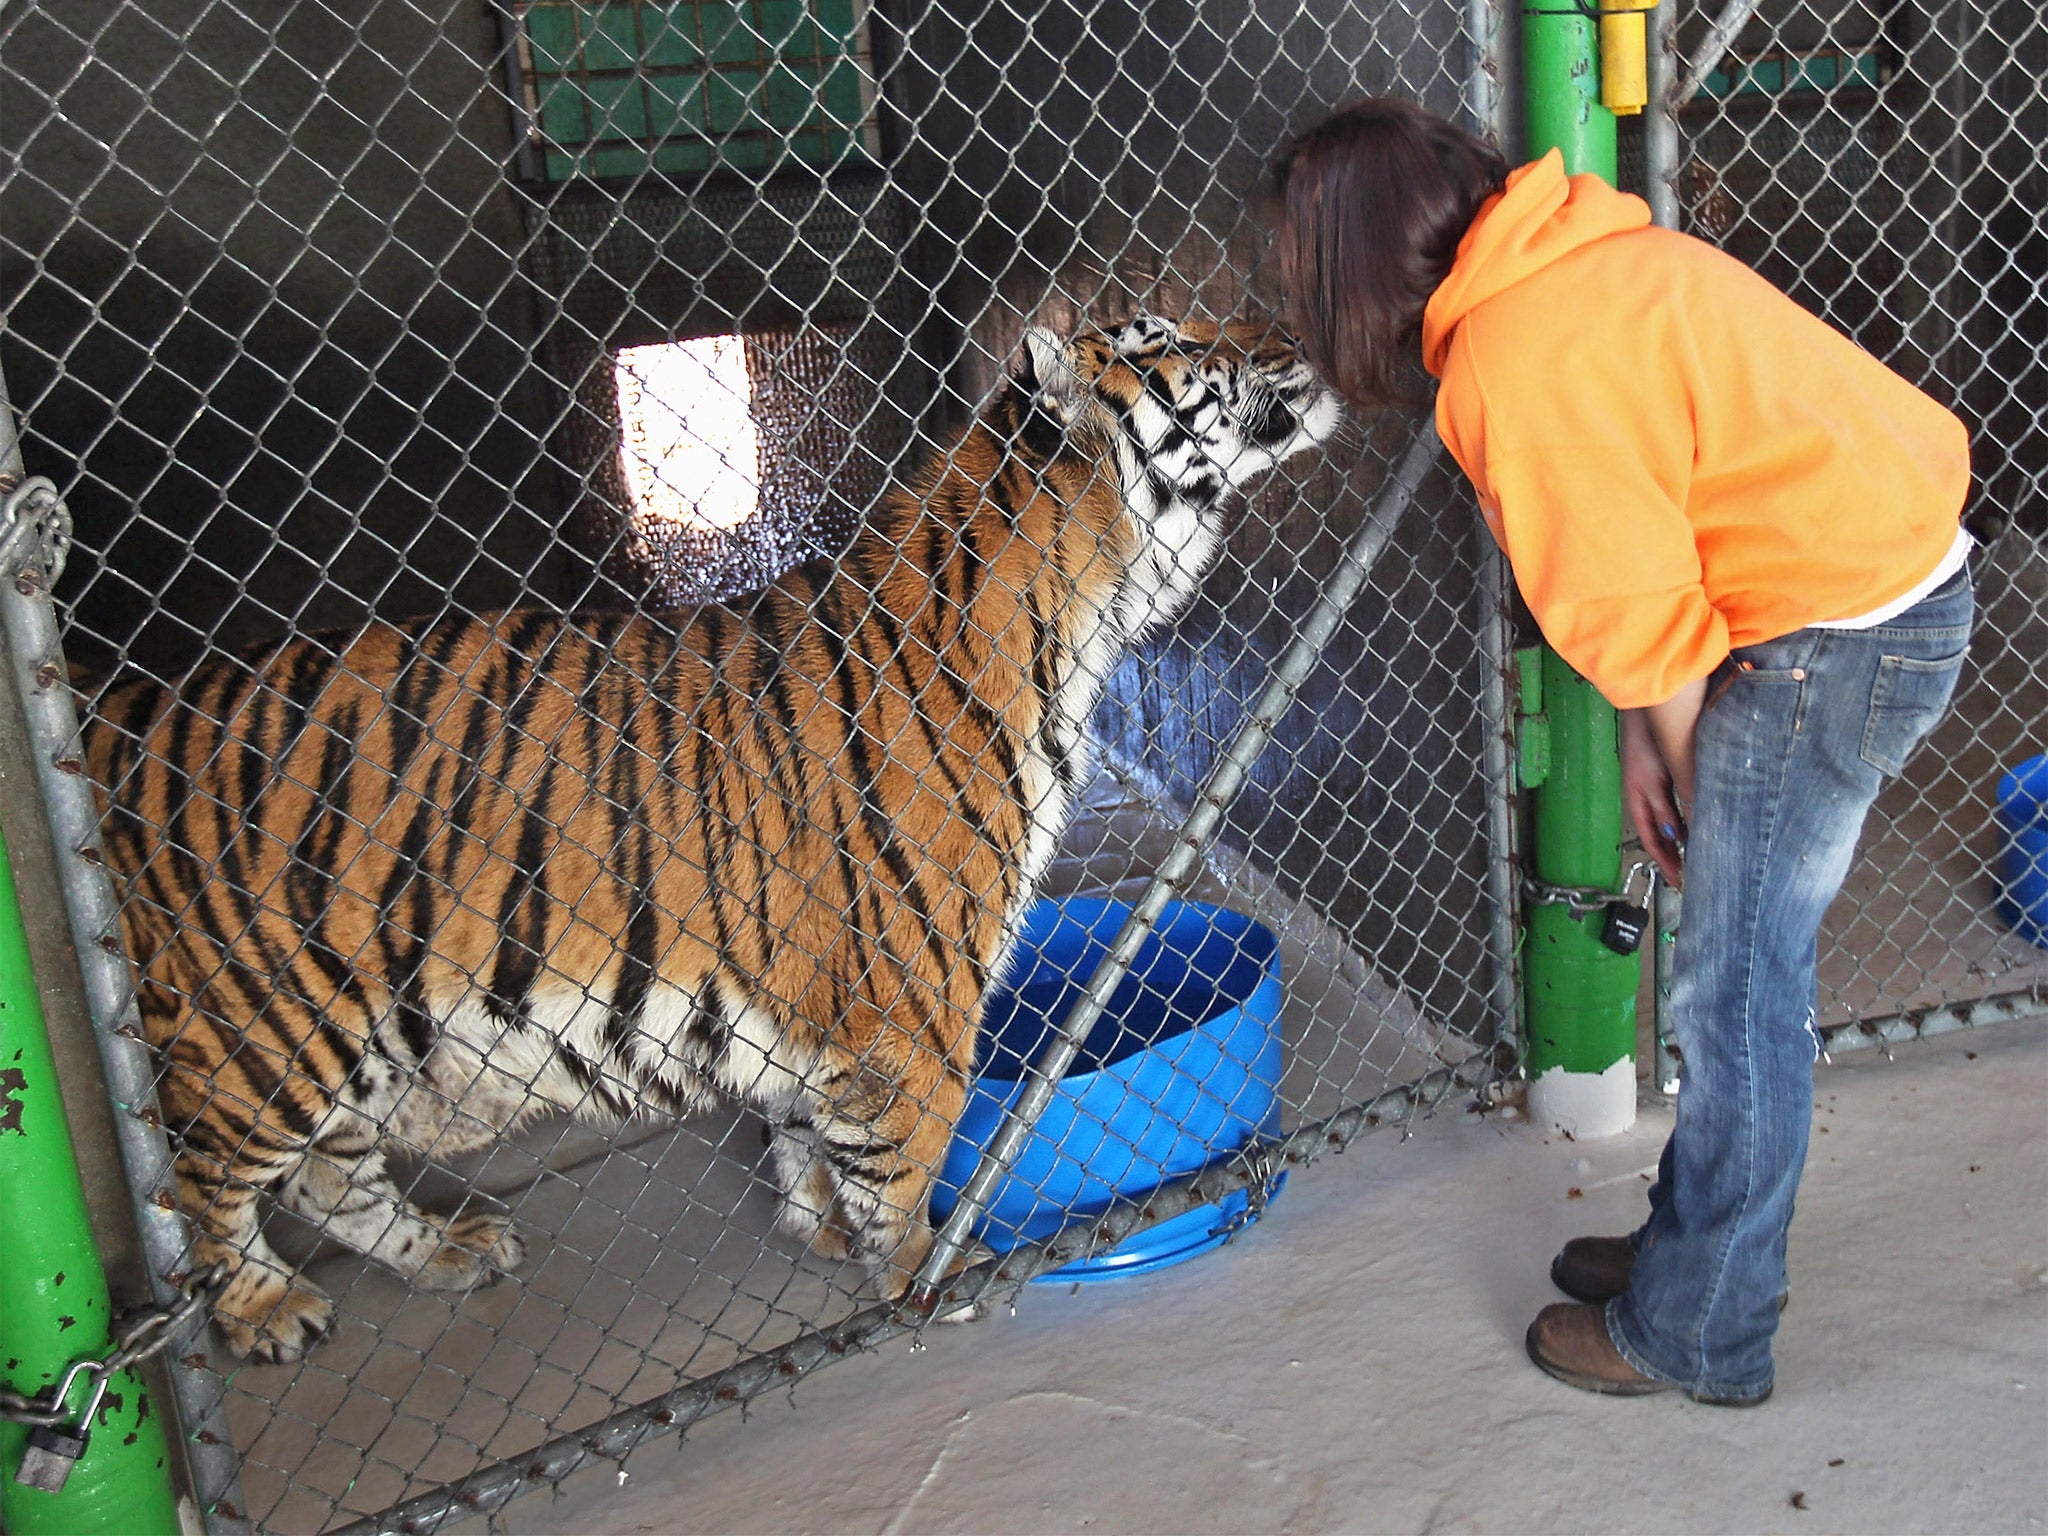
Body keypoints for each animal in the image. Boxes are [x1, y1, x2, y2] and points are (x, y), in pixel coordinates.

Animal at [92, 313, 1343, 1359]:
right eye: (1175, 340)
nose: (1287, 337)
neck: (1080, 603)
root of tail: (116, 716)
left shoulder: (813, 994)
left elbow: (805, 1127)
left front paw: (819, 1225)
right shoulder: (911, 1004)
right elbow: (907, 1163)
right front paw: (924, 1278)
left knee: (327, 1179)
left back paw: (449, 1250)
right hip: (261, 1030)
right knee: (208, 1195)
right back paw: (267, 1312)